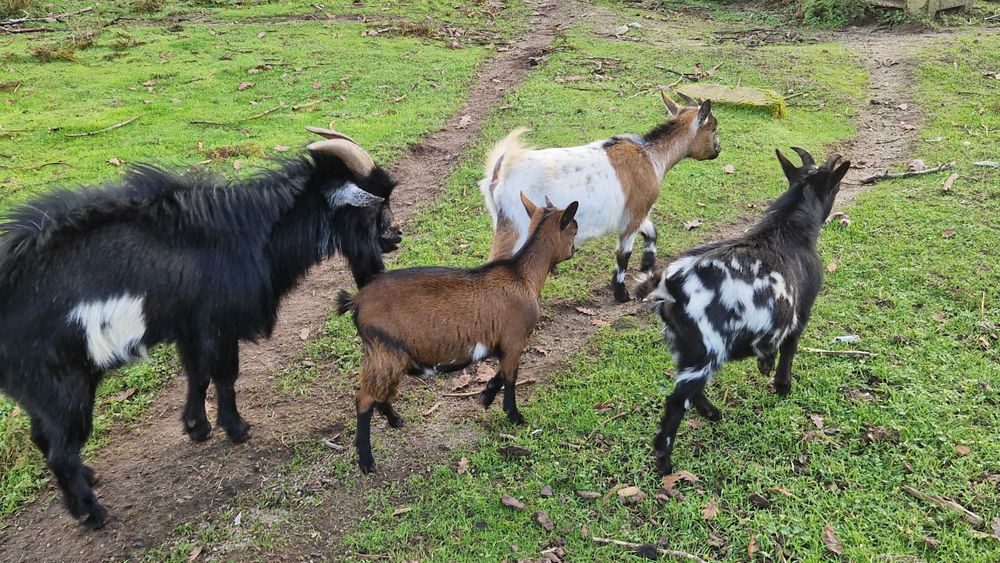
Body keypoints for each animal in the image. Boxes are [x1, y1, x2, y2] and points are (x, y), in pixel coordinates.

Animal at [0, 128, 400, 529]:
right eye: (373, 206)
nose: (396, 236)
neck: (254, 233)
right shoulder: (219, 323)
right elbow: (225, 374)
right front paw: (236, 428)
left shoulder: (191, 326)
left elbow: (197, 373)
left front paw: (197, 427)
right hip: (62, 383)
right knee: (60, 450)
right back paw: (90, 511)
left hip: (40, 392)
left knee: (45, 439)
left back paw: (89, 478)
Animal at [338, 194, 579, 474]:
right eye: (574, 228)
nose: (574, 250)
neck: (521, 275)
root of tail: (356, 301)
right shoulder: (515, 338)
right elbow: (510, 376)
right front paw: (514, 416)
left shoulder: (503, 342)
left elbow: (500, 372)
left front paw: (485, 397)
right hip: (384, 350)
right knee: (364, 399)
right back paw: (366, 461)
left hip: (388, 354)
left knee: (379, 391)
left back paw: (394, 421)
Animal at [480, 91, 720, 303]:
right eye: (713, 128)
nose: (718, 150)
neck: (650, 156)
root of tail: (499, 174)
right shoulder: (635, 212)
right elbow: (623, 255)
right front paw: (622, 294)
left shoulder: (632, 213)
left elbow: (651, 231)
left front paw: (647, 264)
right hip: (517, 225)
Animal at [634, 148, 850, 476]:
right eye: (835, 187)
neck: (787, 228)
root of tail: (669, 284)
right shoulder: (801, 312)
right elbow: (789, 349)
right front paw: (782, 386)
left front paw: (764, 365)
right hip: (705, 350)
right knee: (676, 402)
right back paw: (665, 463)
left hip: (682, 346)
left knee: (691, 388)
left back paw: (713, 414)